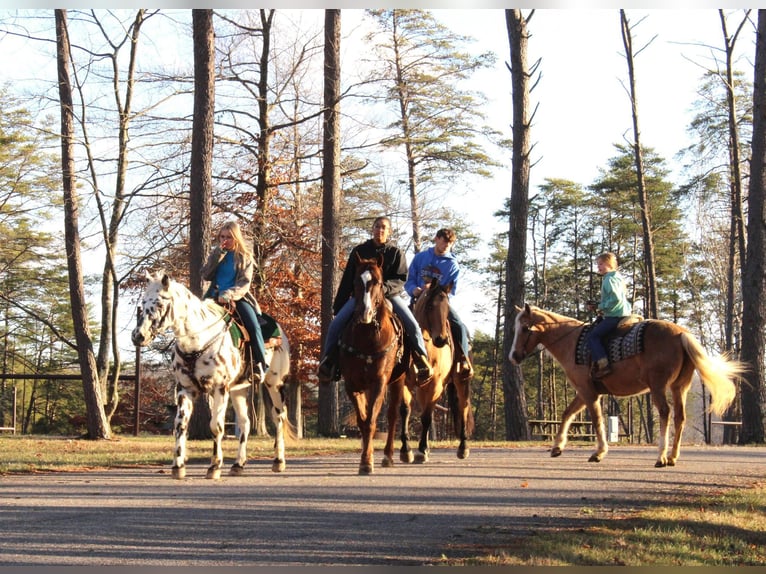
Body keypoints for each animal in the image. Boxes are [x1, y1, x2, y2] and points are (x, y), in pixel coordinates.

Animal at [132, 272, 294, 480]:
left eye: (160, 304)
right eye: (143, 303)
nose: (138, 336)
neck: (197, 341)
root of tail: (280, 331)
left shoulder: (219, 388)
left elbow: (216, 426)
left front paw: (214, 467)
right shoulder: (185, 389)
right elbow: (180, 424)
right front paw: (178, 466)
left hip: (275, 384)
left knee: (279, 417)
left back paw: (278, 461)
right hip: (239, 389)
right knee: (245, 423)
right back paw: (238, 465)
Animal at [338, 254, 408, 474]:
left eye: (377, 282)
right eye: (355, 281)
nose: (364, 312)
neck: (367, 337)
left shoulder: (379, 382)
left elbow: (371, 422)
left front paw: (368, 462)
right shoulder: (352, 384)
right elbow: (363, 421)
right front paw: (364, 457)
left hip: (398, 380)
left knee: (393, 416)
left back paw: (388, 456)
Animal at [396, 280, 474, 468]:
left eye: (447, 306)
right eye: (430, 305)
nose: (441, 339)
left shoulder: (436, 384)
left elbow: (426, 417)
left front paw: (422, 450)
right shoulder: (406, 383)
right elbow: (405, 411)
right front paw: (406, 451)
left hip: (461, 381)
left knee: (463, 407)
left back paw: (463, 447)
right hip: (423, 389)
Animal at [510, 304, 752, 470]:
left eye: (525, 328)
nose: (513, 356)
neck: (572, 342)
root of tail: (681, 333)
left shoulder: (588, 392)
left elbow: (596, 420)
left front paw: (599, 452)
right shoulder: (585, 391)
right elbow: (567, 413)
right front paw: (557, 447)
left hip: (657, 385)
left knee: (665, 413)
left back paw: (660, 457)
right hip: (679, 387)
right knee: (679, 417)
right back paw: (672, 456)